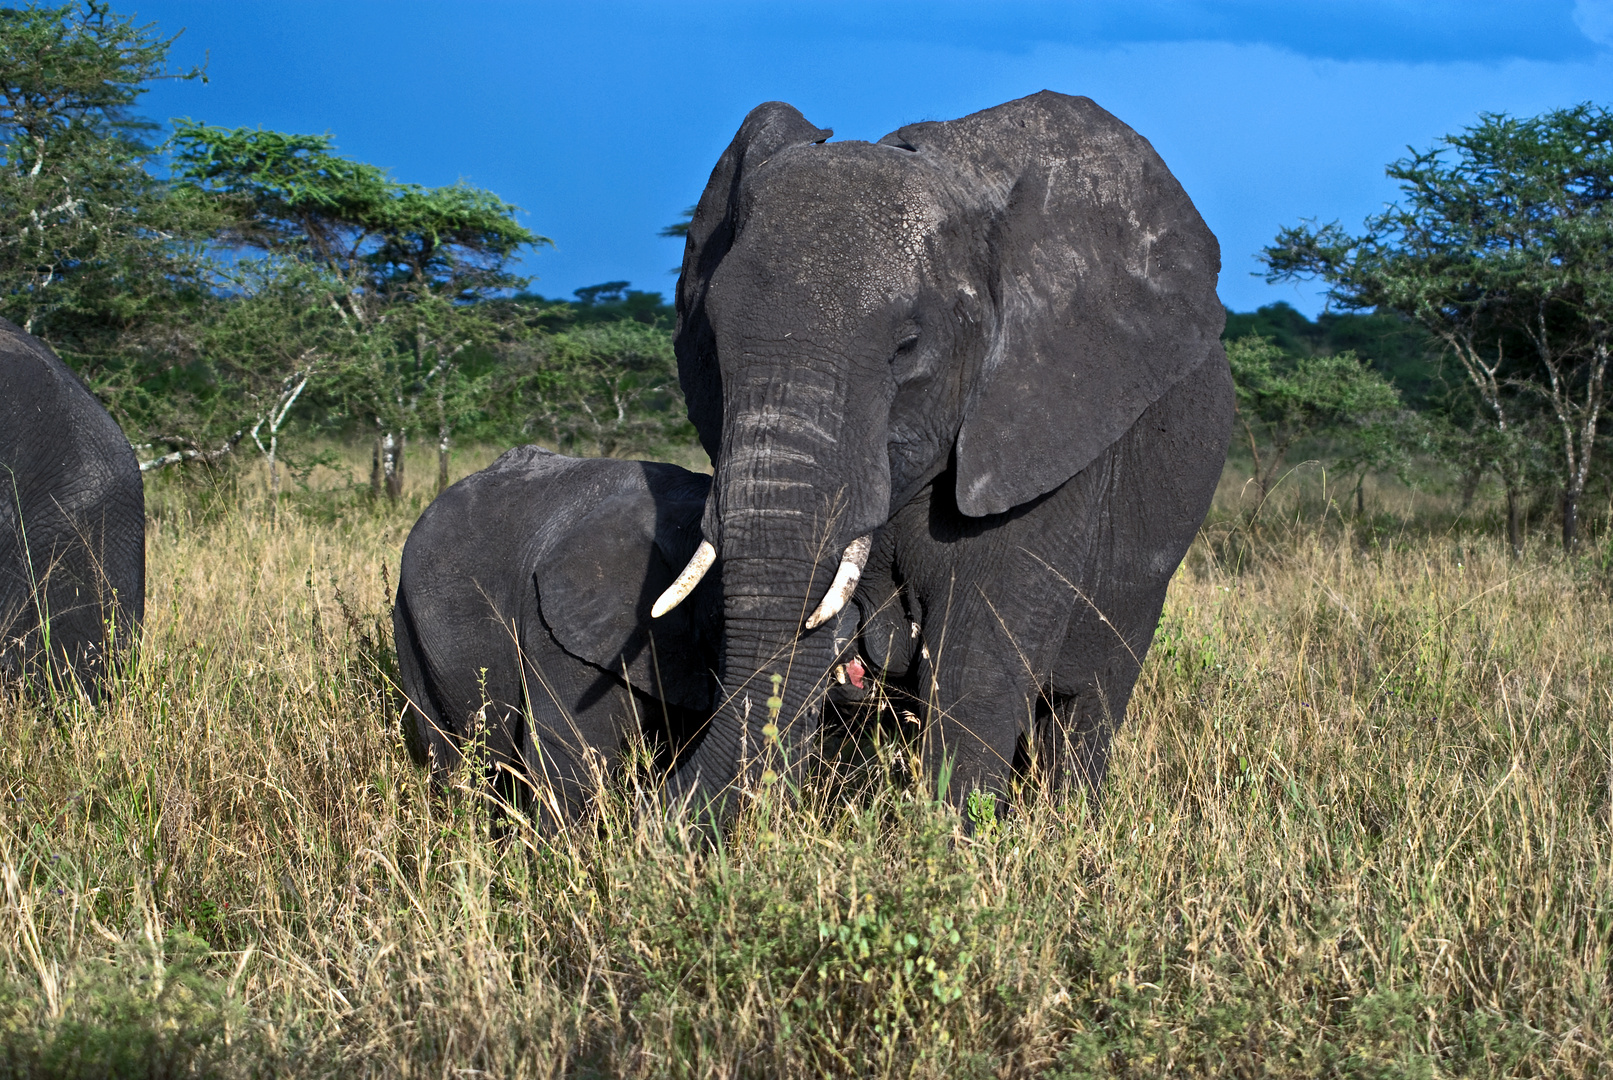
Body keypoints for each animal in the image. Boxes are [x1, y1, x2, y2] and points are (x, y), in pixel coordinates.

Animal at [654, 93, 1232, 815]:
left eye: (906, 346)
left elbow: (974, 664)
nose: (658, 806)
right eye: (711, 336)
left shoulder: (1047, 432)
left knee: (1087, 707)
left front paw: (953, 830)